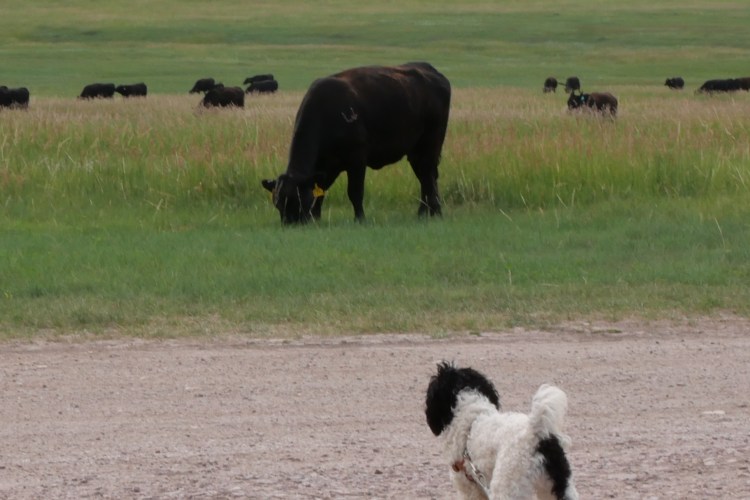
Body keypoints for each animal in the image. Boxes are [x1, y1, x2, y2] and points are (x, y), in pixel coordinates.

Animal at [261, 62, 451, 224]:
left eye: (298, 200)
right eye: (278, 203)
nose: (290, 223)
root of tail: (431, 70)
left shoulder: (357, 160)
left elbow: (355, 192)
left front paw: (360, 218)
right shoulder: (327, 166)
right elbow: (321, 191)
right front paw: (316, 217)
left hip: (430, 145)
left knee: (428, 176)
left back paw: (435, 212)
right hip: (415, 151)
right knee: (425, 176)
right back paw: (424, 212)